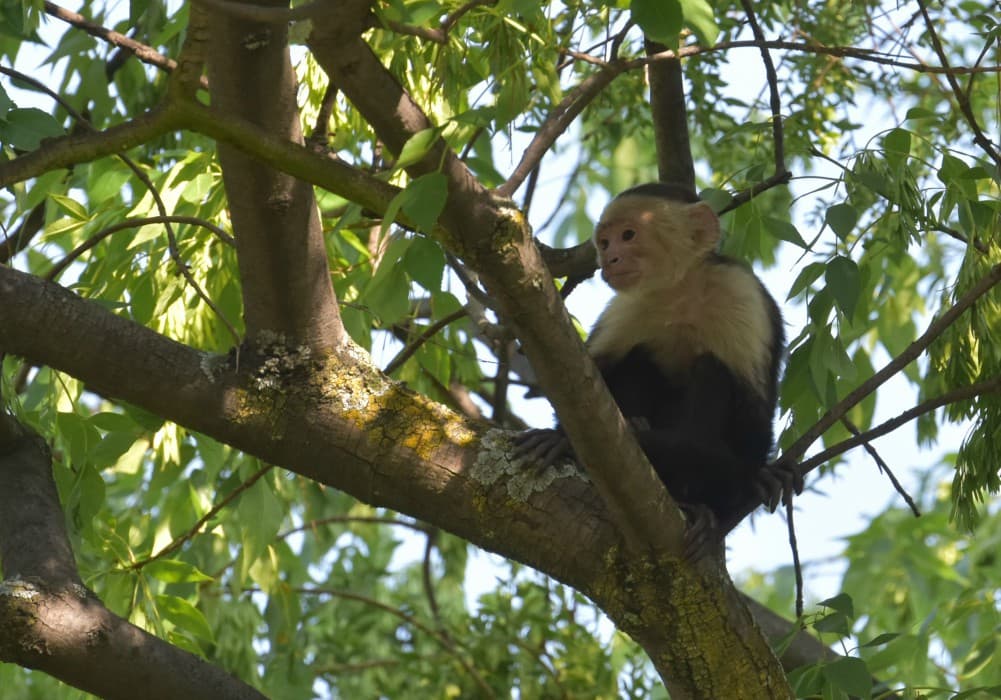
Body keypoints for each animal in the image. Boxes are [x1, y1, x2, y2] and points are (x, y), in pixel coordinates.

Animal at [516, 182, 793, 546]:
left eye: (629, 235)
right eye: (605, 242)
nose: (609, 259)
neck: (680, 292)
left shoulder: (738, 292)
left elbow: (752, 431)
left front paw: (734, 492)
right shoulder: (627, 307)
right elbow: (578, 384)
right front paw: (561, 438)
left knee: (712, 371)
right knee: (638, 358)